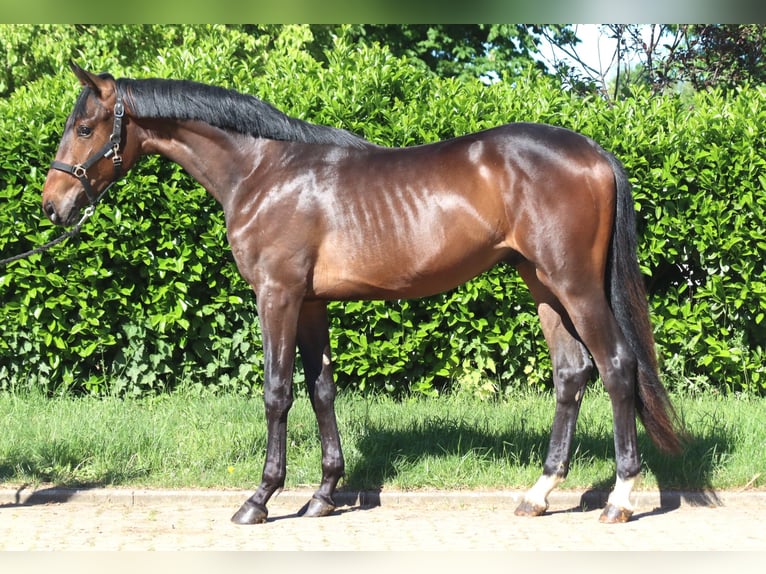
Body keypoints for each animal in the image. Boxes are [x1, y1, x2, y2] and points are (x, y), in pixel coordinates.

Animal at [42, 62, 682, 524]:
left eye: (85, 128)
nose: (53, 206)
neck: (262, 171)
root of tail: (594, 153)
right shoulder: (310, 304)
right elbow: (321, 390)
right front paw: (323, 495)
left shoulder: (276, 296)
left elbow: (277, 393)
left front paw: (259, 499)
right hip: (541, 284)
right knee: (571, 374)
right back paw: (539, 492)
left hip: (575, 285)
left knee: (616, 367)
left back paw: (620, 500)